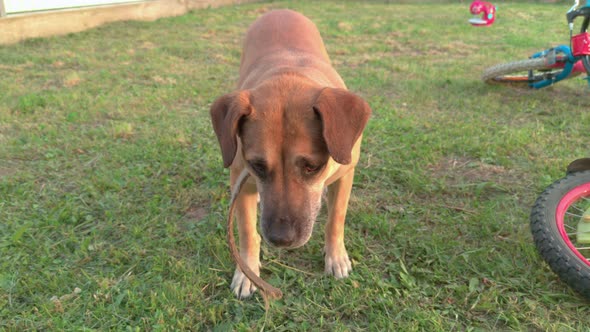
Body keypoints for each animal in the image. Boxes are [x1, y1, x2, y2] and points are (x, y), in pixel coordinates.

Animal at [210, 9, 372, 298]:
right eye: (258, 166)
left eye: (312, 167)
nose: (281, 238)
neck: (289, 73)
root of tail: (279, 10)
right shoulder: (241, 178)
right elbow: (247, 232)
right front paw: (247, 272)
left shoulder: (346, 173)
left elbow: (336, 219)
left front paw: (335, 256)